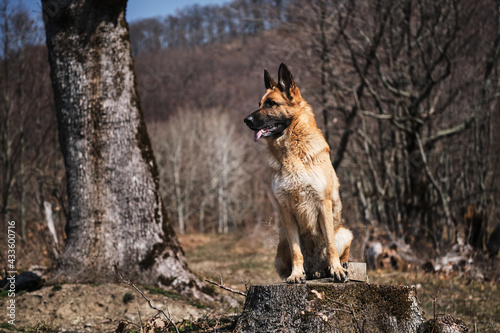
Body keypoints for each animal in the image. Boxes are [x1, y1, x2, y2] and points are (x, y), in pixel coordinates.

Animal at [244, 63, 354, 282]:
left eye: (271, 103)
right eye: (259, 104)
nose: (246, 119)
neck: (291, 151)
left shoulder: (323, 203)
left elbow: (330, 245)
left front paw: (337, 269)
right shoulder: (286, 210)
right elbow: (297, 252)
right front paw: (296, 274)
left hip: (345, 233)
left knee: (337, 251)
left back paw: (335, 267)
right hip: (283, 241)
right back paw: (310, 272)